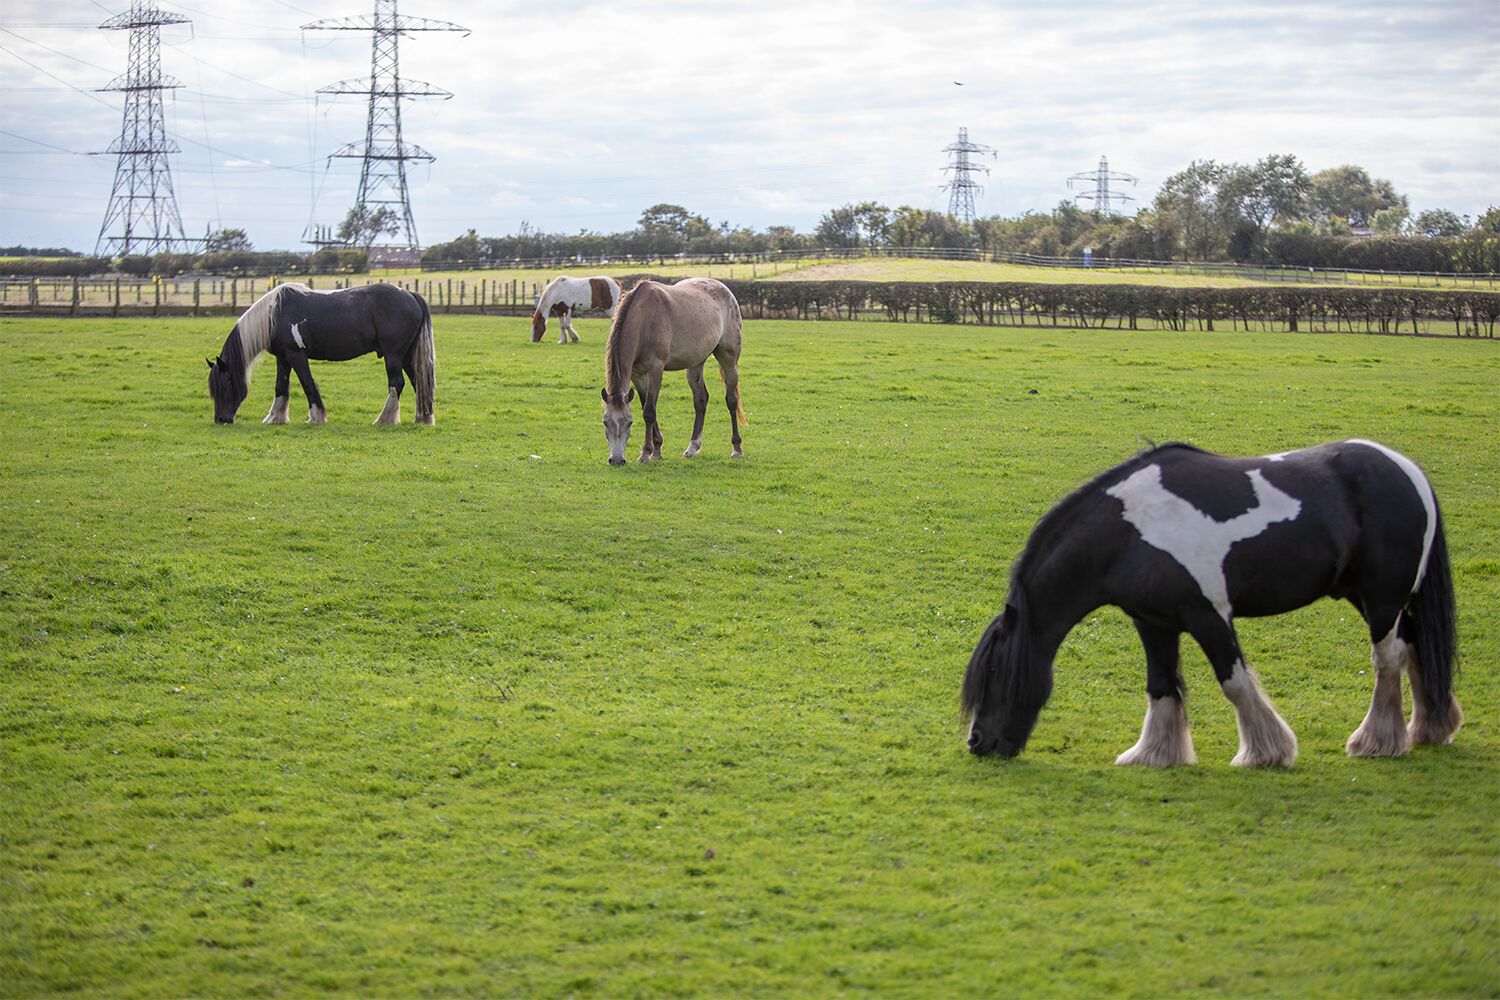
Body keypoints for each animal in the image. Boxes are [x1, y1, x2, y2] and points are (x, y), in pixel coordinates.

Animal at [202, 281, 435, 425]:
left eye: (224, 383)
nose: (221, 419)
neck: (273, 315)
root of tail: (410, 295)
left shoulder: (296, 355)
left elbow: (307, 383)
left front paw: (316, 416)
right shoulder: (283, 358)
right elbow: (281, 386)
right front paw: (275, 417)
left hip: (393, 355)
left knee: (397, 383)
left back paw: (384, 419)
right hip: (406, 356)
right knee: (418, 382)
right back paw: (422, 418)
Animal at [600, 277, 747, 464]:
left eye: (629, 422)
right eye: (605, 422)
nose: (617, 460)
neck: (644, 319)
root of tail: (724, 289)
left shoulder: (656, 369)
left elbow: (649, 412)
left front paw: (646, 453)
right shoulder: (637, 375)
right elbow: (646, 406)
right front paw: (657, 449)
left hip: (729, 360)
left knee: (731, 400)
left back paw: (737, 448)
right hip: (695, 363)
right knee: (700, 400)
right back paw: (692, 447)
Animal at [966, 440, 1458, 773]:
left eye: (993, 671)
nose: (977, 742)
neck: (1129, 533)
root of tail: (1407, 470)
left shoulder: (1210, 616)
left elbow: (1235, 683)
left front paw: (1266, 752)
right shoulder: (1153, 622)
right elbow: (1161, 685)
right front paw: (1154, 754)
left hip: (1381, 599)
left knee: (1387, 659)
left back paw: (1378, 741)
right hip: (1364, 596)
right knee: (1415, 647)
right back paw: (1429, 729)